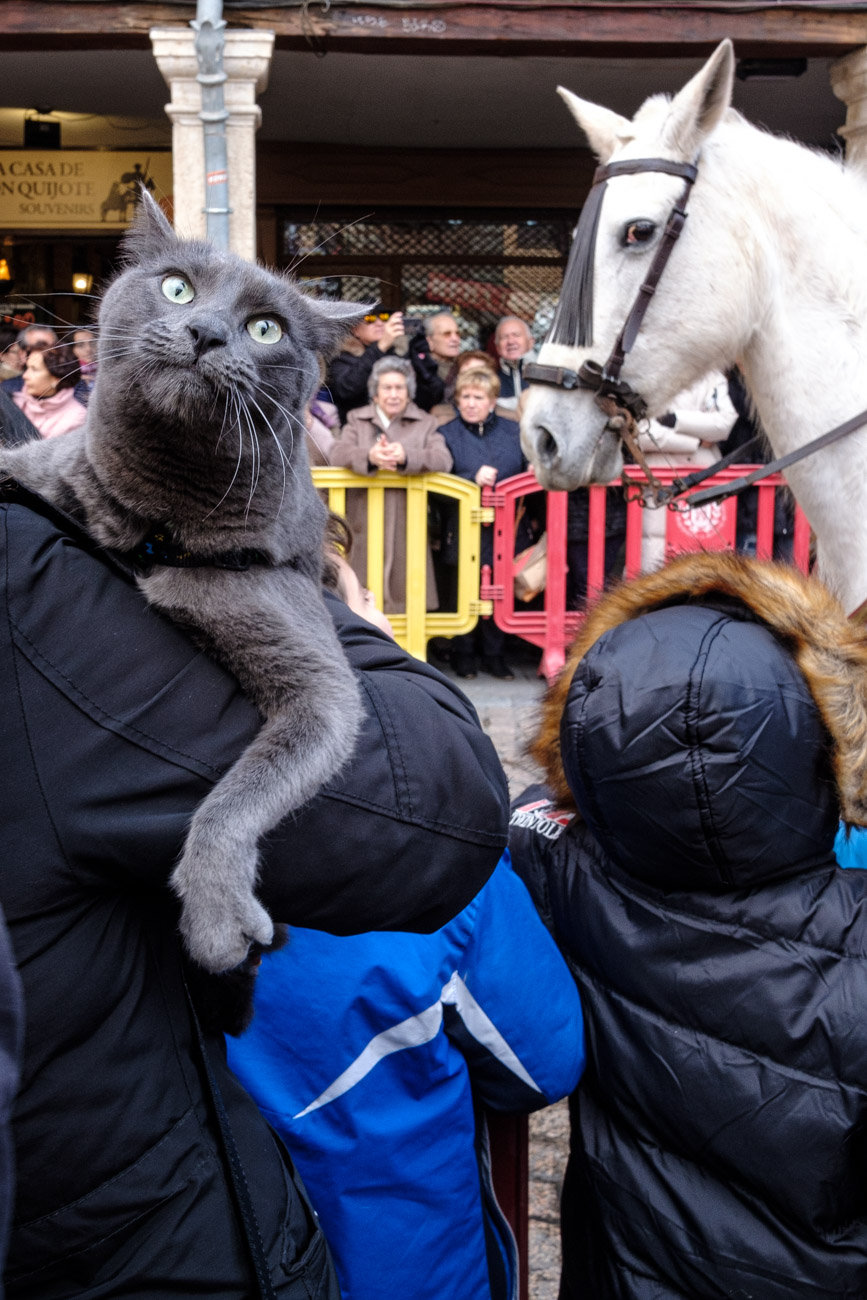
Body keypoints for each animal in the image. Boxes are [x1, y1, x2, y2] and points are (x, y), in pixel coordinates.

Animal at [0, 189, 366, 967]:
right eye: (176, 288)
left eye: (265, 327)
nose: (205, 331)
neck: (157, 522)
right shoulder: (51, 468)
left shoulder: (313, 668)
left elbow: (247, 788)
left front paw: (215, 916)